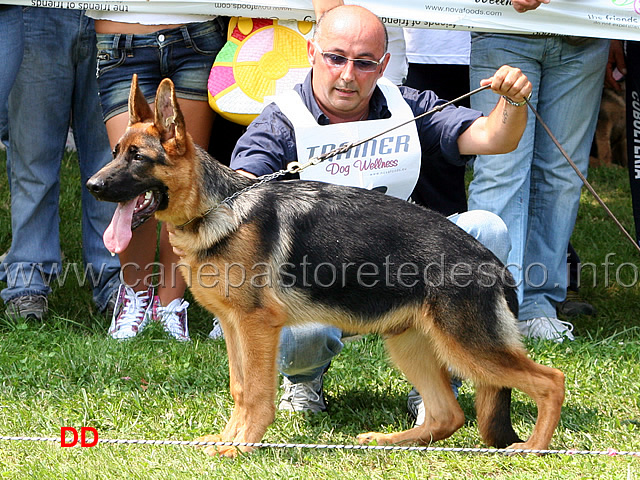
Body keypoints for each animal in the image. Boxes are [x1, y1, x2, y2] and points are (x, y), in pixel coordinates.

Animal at [87, 74, 564, 458]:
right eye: (115, 151)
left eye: (138, 157)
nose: (92, 185)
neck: (218, 207)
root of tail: (495, 265)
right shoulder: (235, 328)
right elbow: (239, 387)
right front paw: (228, 438)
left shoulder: (256, 328)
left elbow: (255, 391)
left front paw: (241, 445)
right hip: (410, 344)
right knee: (448, 415)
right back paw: (389, 441)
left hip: (468, 346)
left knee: (550, 380)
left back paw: (534, 450)